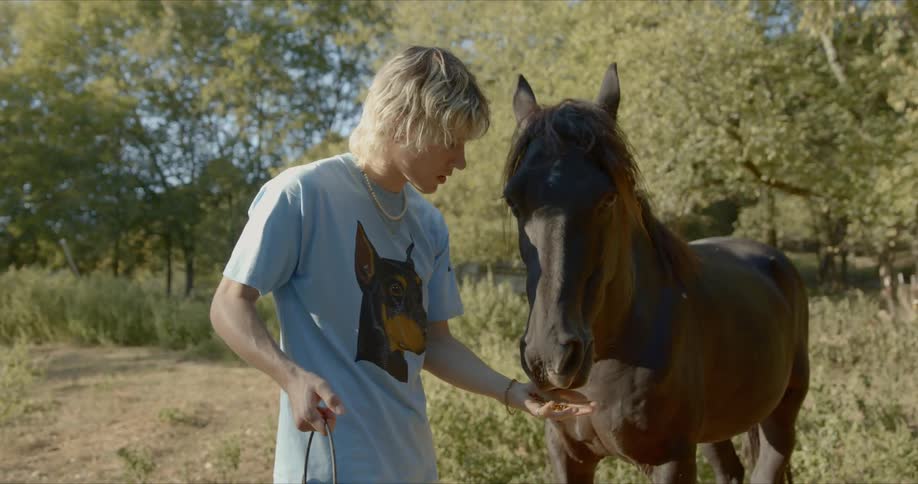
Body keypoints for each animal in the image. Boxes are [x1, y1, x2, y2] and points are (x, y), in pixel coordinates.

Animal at [502, 63, 810, 484]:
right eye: (513, 201)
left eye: (608, 198)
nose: (550, 357)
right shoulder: (567, 454)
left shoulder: (670, 459)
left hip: (781, 415)